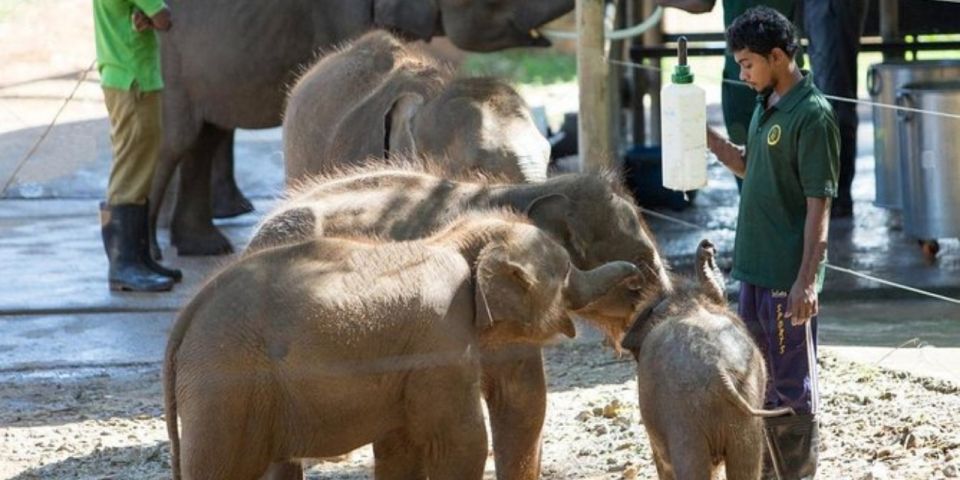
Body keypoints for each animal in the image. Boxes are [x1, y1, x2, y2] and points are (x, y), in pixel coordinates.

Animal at [164, 213, 636, 480]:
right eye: (567, 273)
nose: (637, 276)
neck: (454, 239)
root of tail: (185, 318)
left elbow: (399, 446)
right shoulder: (441, 340)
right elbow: (463, 439)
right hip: (225, 386)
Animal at [620, 240, 792, 480]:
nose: (708, 246)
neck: (687, 303)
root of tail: (718, 370)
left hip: (683, 416)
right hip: (744, 408)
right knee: (746, 464)